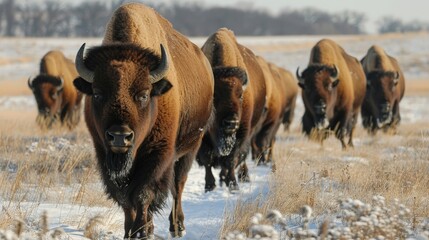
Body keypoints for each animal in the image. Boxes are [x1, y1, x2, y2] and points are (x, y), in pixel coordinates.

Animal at [73, 3, 216, 238]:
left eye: (143, 94)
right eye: (98, 94)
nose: (119, 136)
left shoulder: (158, 154)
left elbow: (143, 193)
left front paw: (141, 231)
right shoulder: (104, 155)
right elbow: (125, 198)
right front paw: (131, 231)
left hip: (191, 147)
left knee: (178, 186)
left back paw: (177, 226)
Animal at [196, 28, 264, 192]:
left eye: (240, 96)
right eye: (215, 96)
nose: (231, 123)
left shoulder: (241, 132)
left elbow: (232, 159)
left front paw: (233, 185)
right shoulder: (203, 135)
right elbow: (207, 159)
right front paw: (210, 185)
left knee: (241, 157)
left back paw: (241, 177)